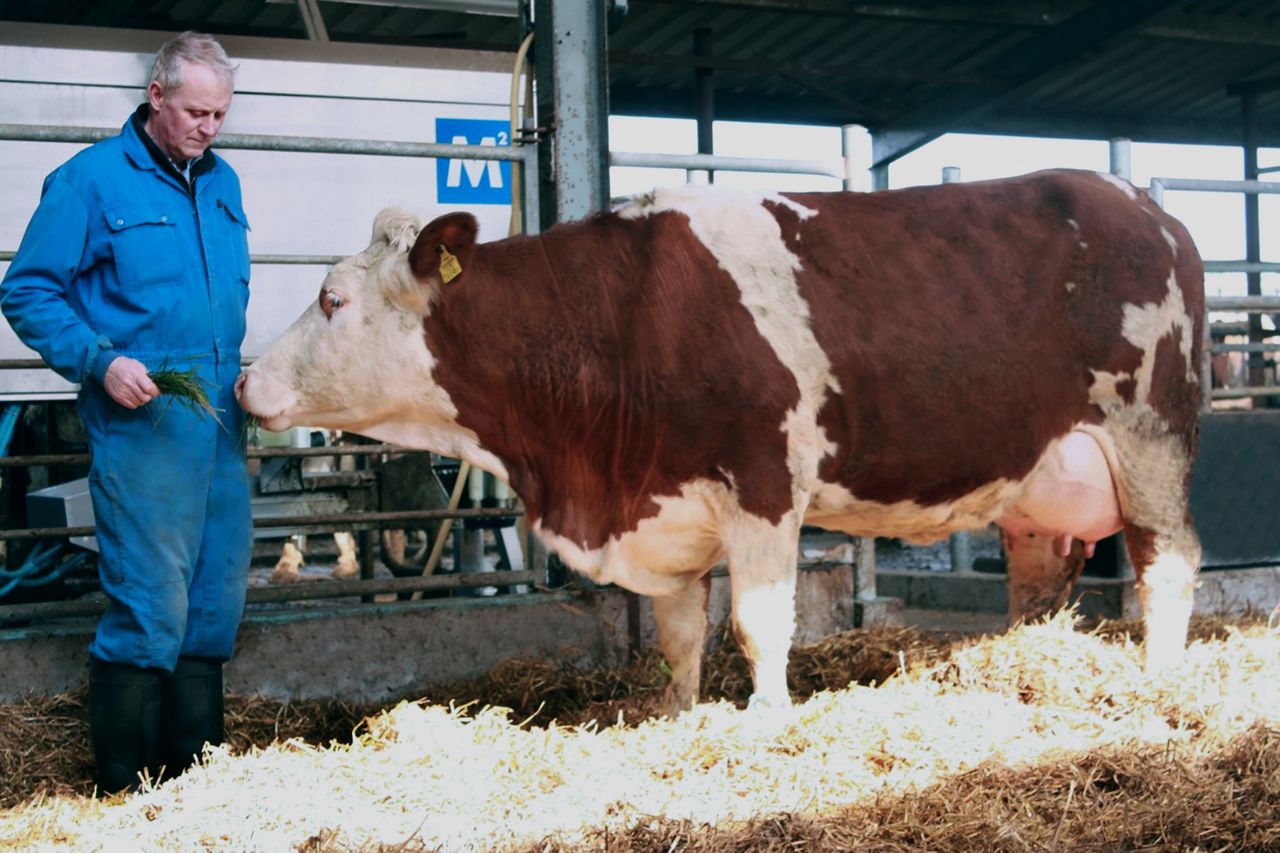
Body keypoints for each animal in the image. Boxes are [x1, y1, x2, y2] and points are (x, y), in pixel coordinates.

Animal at [236, 169, 1205, 714]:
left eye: (330, 298)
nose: (244, 383)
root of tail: (1147, 209)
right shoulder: (666, 501)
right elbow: (678, 632)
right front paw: (676, 710)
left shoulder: (764, 481)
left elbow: (758, 620)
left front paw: (767, 716)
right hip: (1041, 479)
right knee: (1040, 582)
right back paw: (1022, 663)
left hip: (1150, 441)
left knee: (1169, 562)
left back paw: (1160, 680)